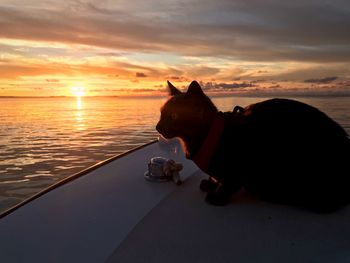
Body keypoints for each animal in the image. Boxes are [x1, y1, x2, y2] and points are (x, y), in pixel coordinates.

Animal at [157, 81, 350, 214]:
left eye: (173, 116)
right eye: (161, 114)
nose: (157, 127)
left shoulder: (241, 165)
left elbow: (230, 183)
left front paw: (218, 196)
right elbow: (216, 177)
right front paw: (211, 184)